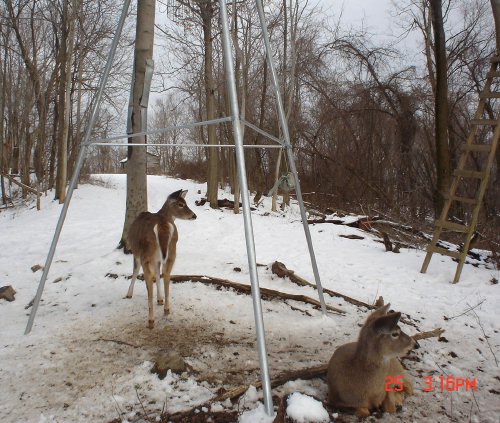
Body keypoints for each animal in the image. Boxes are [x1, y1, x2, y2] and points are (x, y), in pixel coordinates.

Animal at [126, 190, 196, 332]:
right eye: (181, 204)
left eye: (185, 202)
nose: (194, 215)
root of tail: (162, 225)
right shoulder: (158, 259)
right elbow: (158, 275)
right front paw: (160, 299)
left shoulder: (136, 253)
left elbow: (135, 272)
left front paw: (129, 294)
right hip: (172, 249)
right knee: (166, 273)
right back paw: (166, 308)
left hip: (145, 253)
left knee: (148, 277)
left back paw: (151, 320)